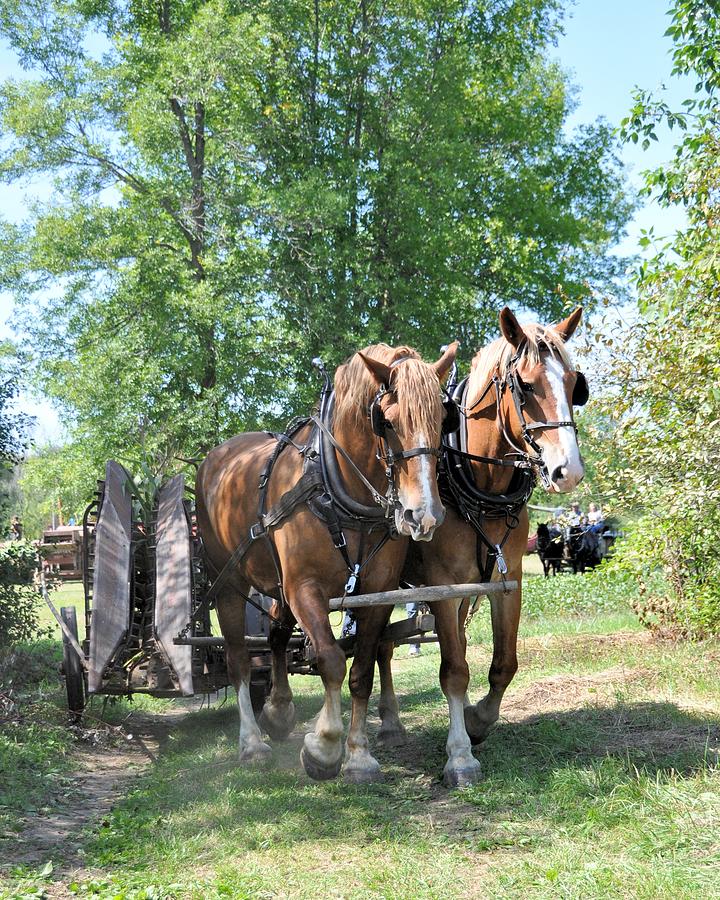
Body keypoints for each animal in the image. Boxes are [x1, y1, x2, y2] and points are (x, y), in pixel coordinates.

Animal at [195, 342, 456, 780]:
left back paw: (279, 710)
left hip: (277, 585)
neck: (337, 487)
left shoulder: (377, 592)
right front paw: (325, 747)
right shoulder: (304, 588)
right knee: (238, 660)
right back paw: (252, 742)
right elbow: (331, 660)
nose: (424, 516)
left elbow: (362, 670)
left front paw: (359, 755)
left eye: (442, 418)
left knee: (276, 636)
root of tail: (215, 456)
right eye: (386, 421)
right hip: (228, 582)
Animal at [380, 310, 588, 788]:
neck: (478, 482)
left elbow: (503, 663)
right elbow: (454, 671)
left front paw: (477, 721)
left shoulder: (506, 581)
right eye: (525, 386)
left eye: (574, 384)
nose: (567, 472)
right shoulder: (442, 587)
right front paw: (459, 755)